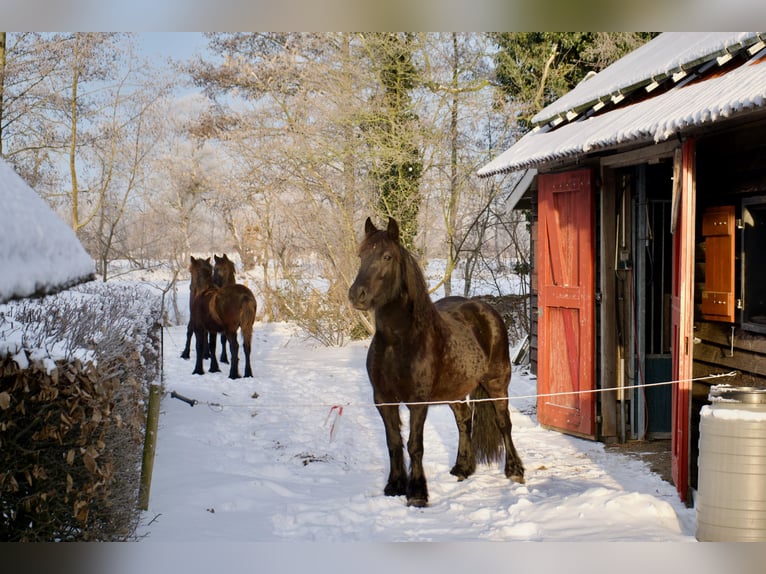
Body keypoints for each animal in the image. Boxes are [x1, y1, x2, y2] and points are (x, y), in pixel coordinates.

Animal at [348, 217, 524, 507]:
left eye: (387, 256)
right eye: (361, 255)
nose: (356, 295)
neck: (398, 341)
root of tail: (485, 310)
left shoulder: (418, 401)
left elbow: (414, 445)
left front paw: (417, 493)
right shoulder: (383, 399)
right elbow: (393, 442)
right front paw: (394, 486)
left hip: (497, 384)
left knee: (504, 424)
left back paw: (515, 470)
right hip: (455, 390)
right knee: (464, 420)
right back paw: (462, 468)